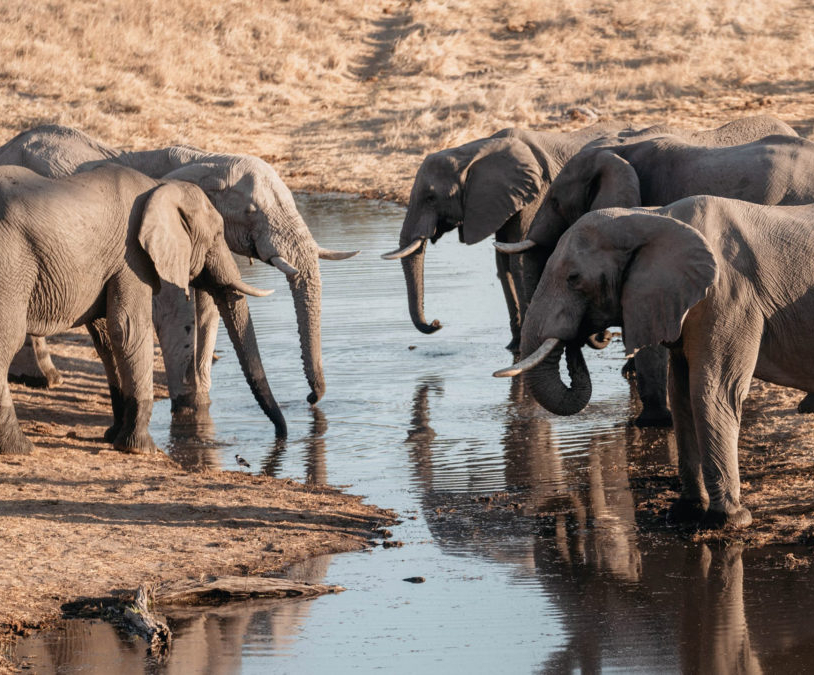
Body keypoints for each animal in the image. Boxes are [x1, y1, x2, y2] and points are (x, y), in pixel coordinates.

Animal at [0, 124, 358, 414]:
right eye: (251, 211)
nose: (310, 400)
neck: (207, 159)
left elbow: (208, 310)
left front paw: (202, 399)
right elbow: (174, 311)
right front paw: (189, 407)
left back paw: (42, 378)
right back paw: (44, 380)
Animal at [0, 164, 281, 455]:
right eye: (216, 236)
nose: (281, 435)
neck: (159, 187)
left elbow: (107, 336)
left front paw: (113, 436)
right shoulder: (131, 257)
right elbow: (127, 327)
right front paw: (140, 448)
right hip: (11, 262)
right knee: (8, 338)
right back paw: (19, 448)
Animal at [383, 115, 795, 352]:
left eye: (431, 196)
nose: (437, 323)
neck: (476, 148)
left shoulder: (532, 195)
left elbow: (518, 260)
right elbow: (505, 261)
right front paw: (514, 346)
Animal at [494, 196, 814, 528]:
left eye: (574, 279)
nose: (582, 336)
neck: (654, 217)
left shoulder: (728, 299)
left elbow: (711, 392)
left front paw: (729, 520)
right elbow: (681, 393)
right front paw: (685, 511)